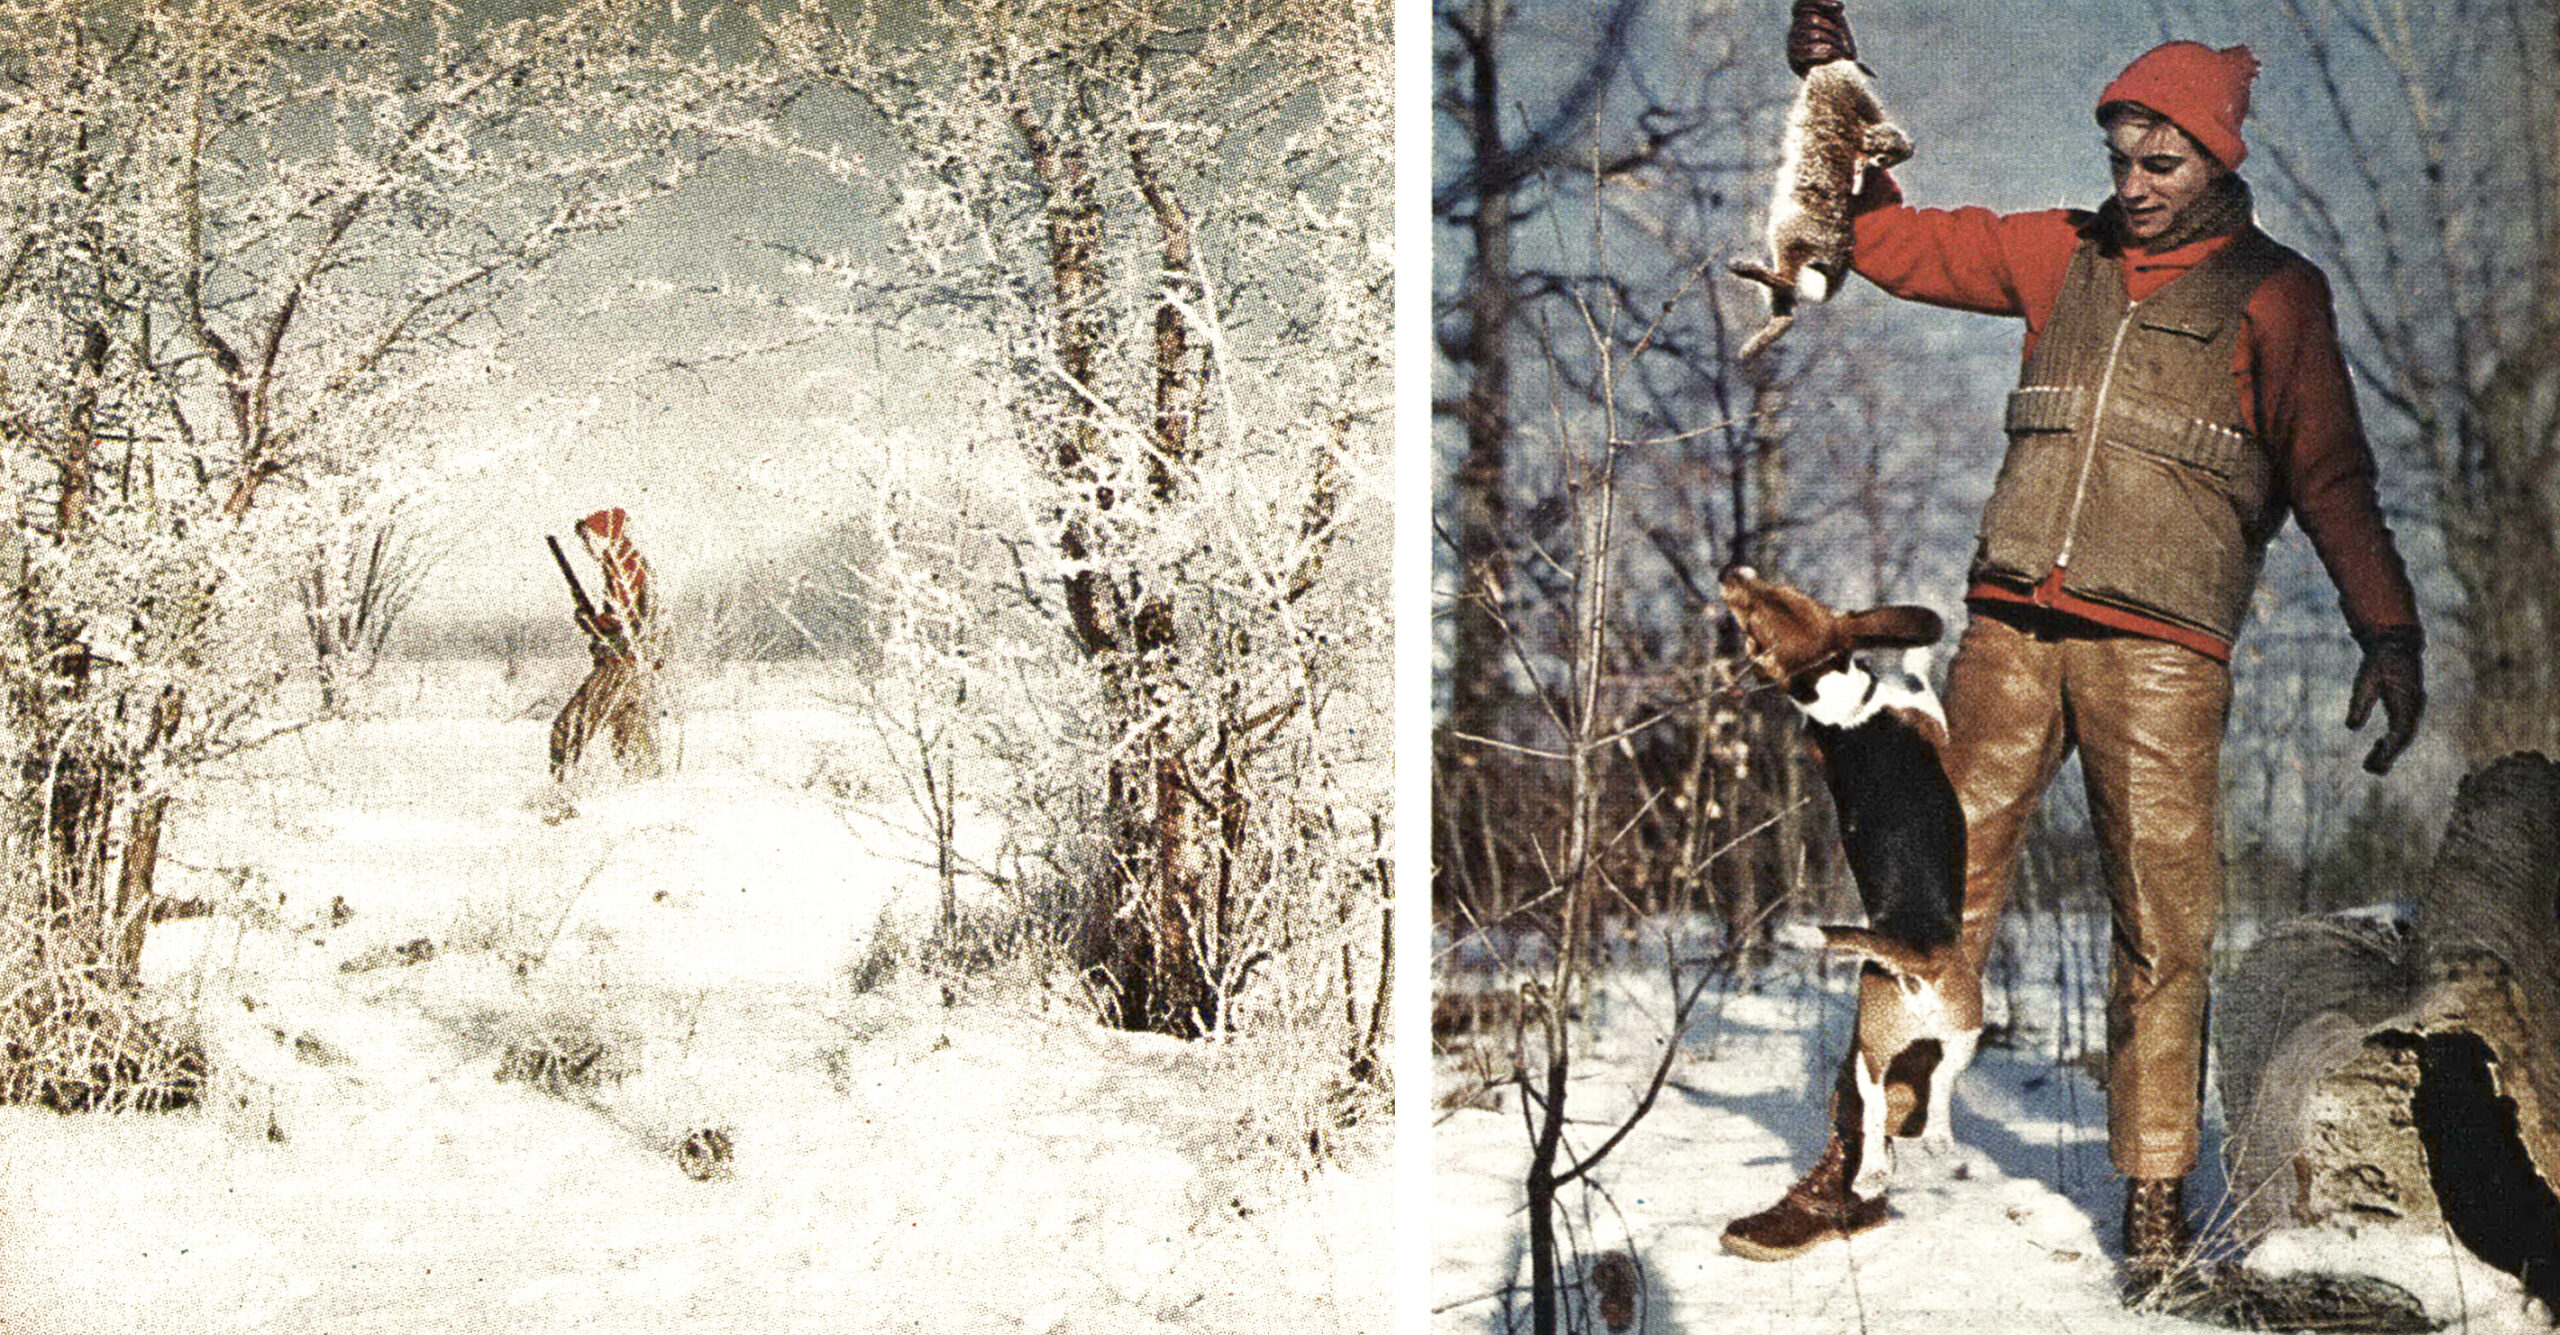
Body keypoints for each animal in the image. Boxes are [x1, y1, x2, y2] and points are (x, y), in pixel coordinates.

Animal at [1710, 566, 1986, 1255]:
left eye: (1776, 598)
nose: (1731, 572)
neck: (1841, 704)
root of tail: (1913, 955)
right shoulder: (1929, 719)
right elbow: (1918, 682)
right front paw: (1915, 656)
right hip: (1939, 1028)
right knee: (1914, 1092)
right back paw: (1893, 1163)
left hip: (1904, 1036)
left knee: (1901, 1098)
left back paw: (1889, 1167)